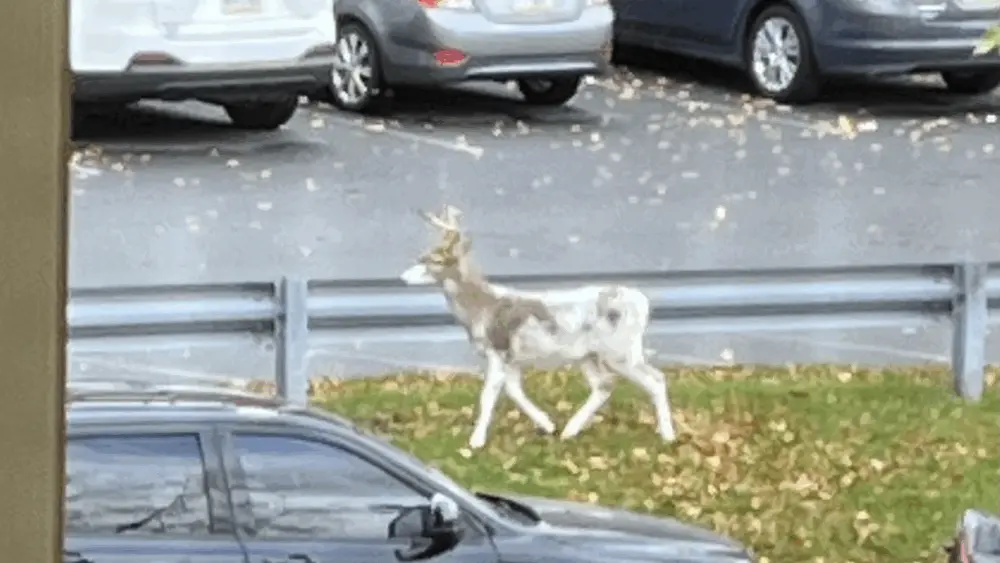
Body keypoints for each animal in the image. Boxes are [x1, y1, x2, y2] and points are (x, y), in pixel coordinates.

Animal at [399, 205, 676, 450]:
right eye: (422, 256)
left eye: (434, 259)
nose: (402, 277)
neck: (481, 309)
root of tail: (643, 303)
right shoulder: (512, 357)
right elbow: (514, 390)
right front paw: (547, 424)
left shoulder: (498, 350)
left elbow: (489, 394)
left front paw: (476, 441)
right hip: (588, 355)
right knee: (604, 384)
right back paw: (569, 430)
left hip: (620, 350)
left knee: (655, 379)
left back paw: (668, 435)